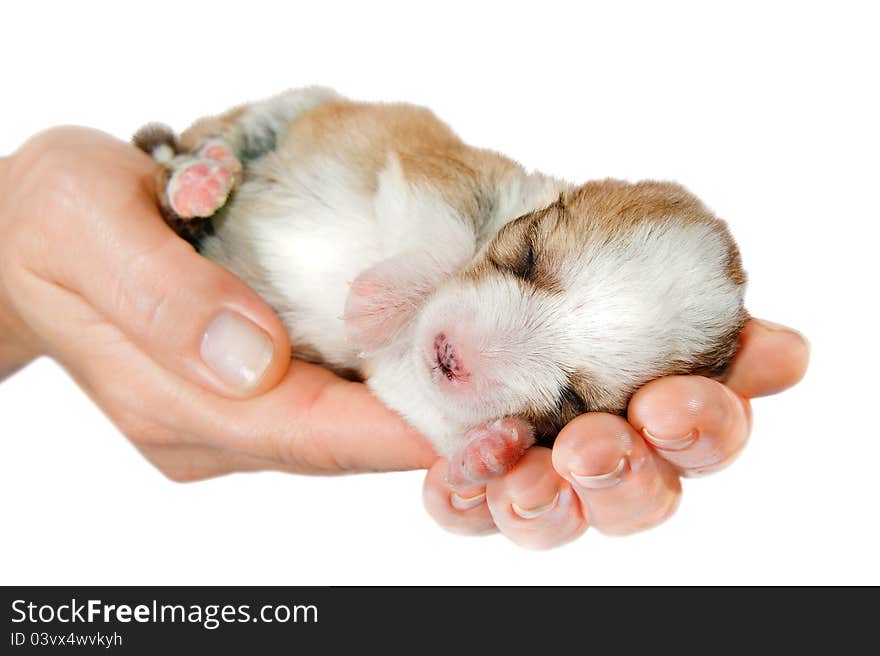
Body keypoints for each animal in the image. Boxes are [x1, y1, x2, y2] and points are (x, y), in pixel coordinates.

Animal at [134, 86, 744, 486]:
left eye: (574, 399)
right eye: (526, 256)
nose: (451, 357)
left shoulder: (395, 370)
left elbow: (427, 402)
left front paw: (490, 446)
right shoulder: (443, 173)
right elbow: (444, 233)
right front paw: (377, 304)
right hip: (292, 107)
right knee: (193, 152)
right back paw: (204, 177)